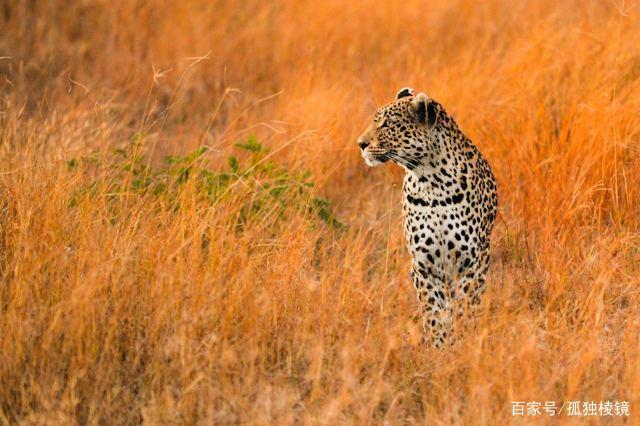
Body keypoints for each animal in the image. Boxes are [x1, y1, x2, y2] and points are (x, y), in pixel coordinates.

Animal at [358, 88, 498, 348]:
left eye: (388, 124)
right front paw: (439, 345)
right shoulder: (424, 264)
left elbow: (465, 306)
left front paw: (461, 339)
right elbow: (434, 311)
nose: (360, 144)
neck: (431, 180)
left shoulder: (471, 261)